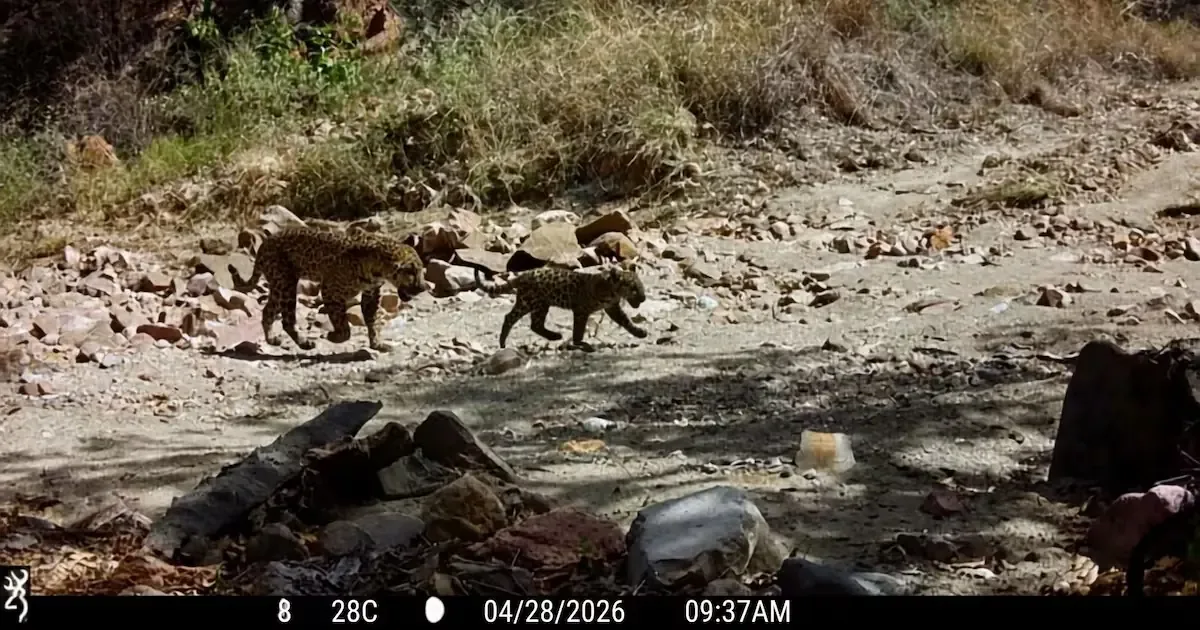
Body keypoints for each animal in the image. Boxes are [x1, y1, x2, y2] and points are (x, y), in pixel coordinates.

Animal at [234, 225, 426, 353]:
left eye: (421, 270)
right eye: (412, 272)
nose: (423, 287)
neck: (381, 267)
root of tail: (263, 245)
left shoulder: (371, 294)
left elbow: (373, 320)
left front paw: (377, 343)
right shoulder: (330, 291)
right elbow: (343, 325)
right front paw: (334, 336)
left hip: (278, 285)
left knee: (268, 310)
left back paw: (272, 339)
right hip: (286, 283)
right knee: (287, 320)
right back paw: (304, 343)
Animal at [474, 262, 649, 351]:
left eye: (641, 285)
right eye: (633, 288)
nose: (644, 298)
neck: (612, 291)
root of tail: (523, 275)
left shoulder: (612, 308)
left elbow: (626, 321)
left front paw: (640, 332)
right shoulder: (581, 310)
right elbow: (578, 329)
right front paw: (581, 344)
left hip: (541, 305)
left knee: (536, 324)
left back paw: (554, 336)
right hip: (527, 302)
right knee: (510, 317)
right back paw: (502, 343)